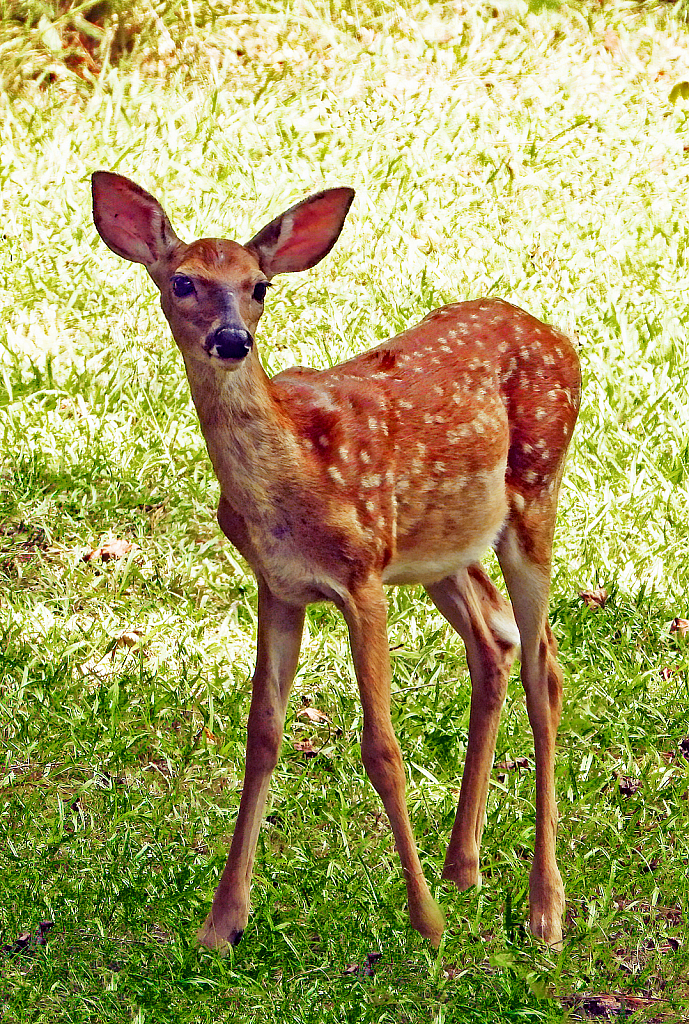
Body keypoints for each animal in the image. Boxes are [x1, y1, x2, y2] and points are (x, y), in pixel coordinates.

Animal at [88, 174, 577, 950]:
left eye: (258, 285)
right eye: (183, 280)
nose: (232, 339)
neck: (291, 477)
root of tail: (560, 338)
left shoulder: (363, 574)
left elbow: (382, 749)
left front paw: (426, 925)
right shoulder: (277, 585)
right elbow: (262, 735)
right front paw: (222, 921)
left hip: (535, 489)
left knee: (544, 668)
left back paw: (543, 910)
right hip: (443, 551)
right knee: (493, 646)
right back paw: (462, 867)